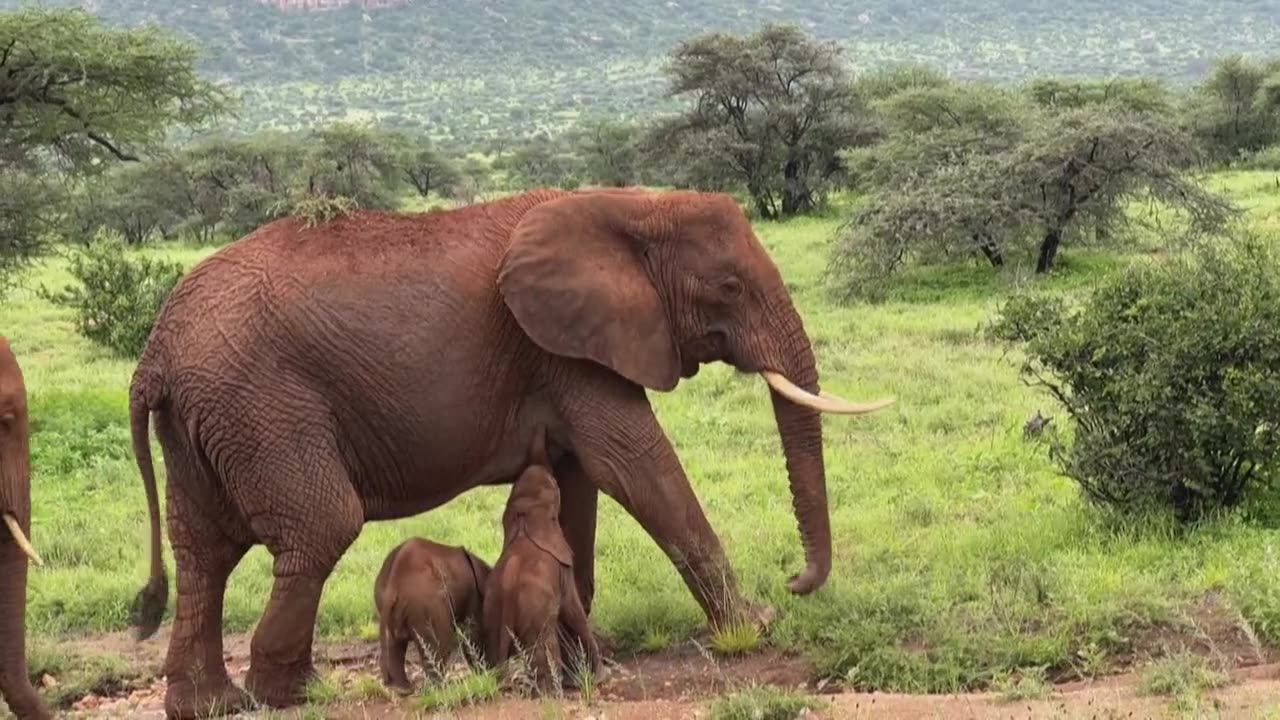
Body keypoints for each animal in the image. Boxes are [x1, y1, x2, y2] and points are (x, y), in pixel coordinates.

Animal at [373, 535, 491, 691]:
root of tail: (393, 586)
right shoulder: (472, 596)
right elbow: (471, 631)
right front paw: (484, 672)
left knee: (395, 644)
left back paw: (403, 690)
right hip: (427, 606)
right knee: (441, 641)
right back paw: (441, 687)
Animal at [481, 427, 601, 686]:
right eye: (554, 484)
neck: (524, 519)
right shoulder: (563, 566)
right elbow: (573, 610)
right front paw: (599, 678)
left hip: (492, 609)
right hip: (534, 611)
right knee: (543, 648)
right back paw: (553, 689)